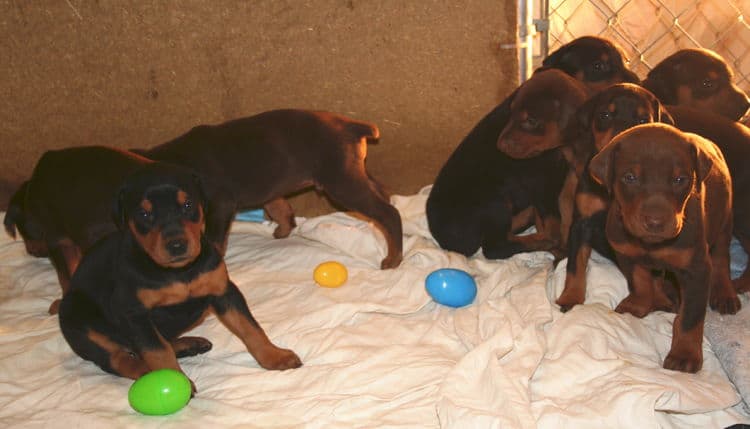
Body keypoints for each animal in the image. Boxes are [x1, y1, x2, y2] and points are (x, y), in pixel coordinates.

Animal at [58, 162, 302, 390]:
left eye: (187, 205)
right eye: (144, 213)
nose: (176, 245)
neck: (178, 272)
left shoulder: (223, 290)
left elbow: (250, 327)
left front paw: (275, 356)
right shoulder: (134, 313)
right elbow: (157, 351)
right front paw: (172, 381)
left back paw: (190, 344)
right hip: (76, 315)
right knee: (118, 359)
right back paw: (147, 372)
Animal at [556, 83, 680, 310]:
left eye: (643, 120)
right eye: (605, 115)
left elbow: (654, 273)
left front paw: (658, 299)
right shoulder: (582, 223)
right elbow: (575, 264)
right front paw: (571, 297)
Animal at [592, 123, 736, 372]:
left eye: (679, 179)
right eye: (630, 177)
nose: (655, 222)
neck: (651, 244)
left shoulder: (696, 270)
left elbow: (690, 317)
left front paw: (684, 354)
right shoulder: (625, 252)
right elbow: (640, 281)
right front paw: (639, 304)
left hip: (724, 220)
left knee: (721, 258)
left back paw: (724, 293)